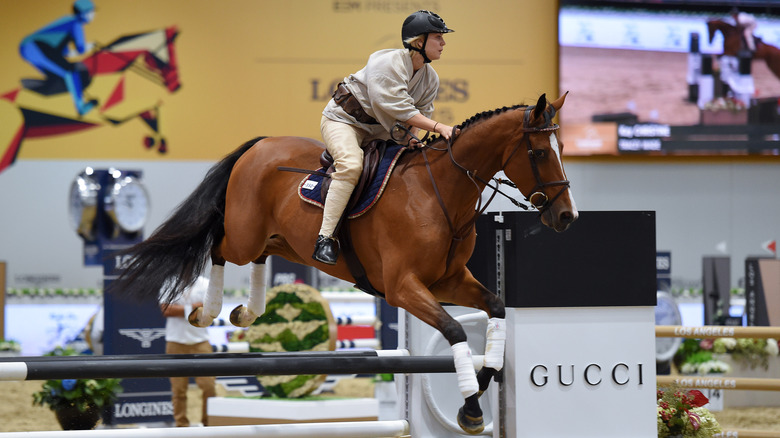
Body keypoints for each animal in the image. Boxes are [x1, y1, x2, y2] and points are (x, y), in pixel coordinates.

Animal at [0, 26, 180, 175]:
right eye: (168, 53)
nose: (176, 86)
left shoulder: (120, 109)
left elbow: (152, 110)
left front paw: (157, 142)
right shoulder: (112, 113)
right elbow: (153, 104)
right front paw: (158, 141)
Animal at [114, 92, 580, 434]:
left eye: (562, 148)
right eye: (540, 153)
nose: (566, 217)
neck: (441, 192)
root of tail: (260, 144)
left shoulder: (448, 282)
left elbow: (496, 310)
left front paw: (480, 389)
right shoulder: (403, 287)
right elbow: (453, 331)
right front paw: (470, 405)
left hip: (282, 240)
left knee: (262, 255)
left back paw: (248, 312)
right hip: (245, 234)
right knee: (218, 247)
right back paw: (207, 311)